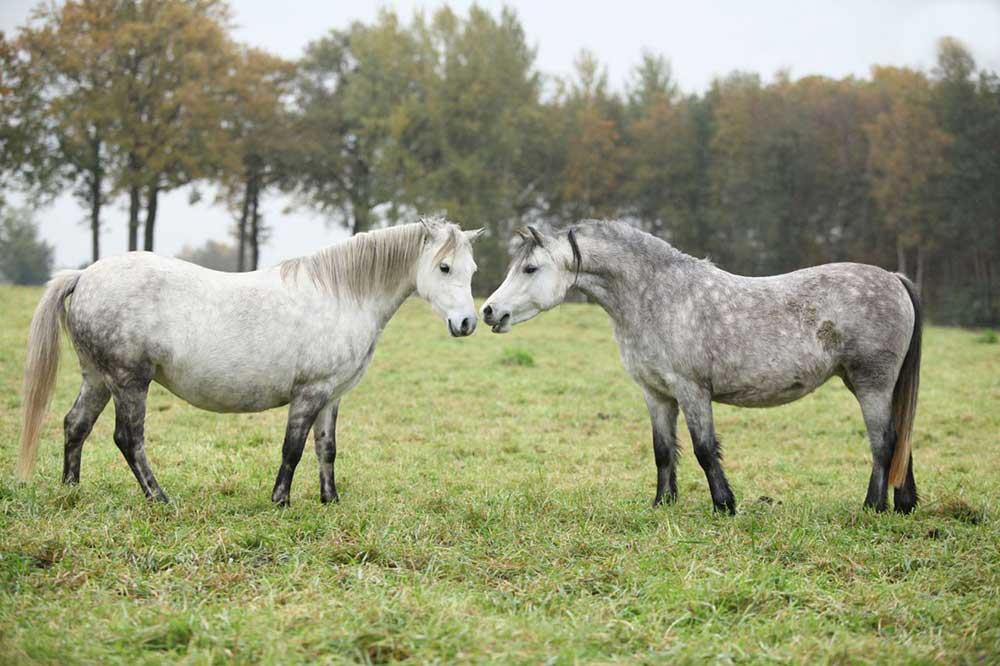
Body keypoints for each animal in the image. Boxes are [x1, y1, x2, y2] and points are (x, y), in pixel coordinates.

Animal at [15, 218, 484, 504]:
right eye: (444, 267)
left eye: (473, 270)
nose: (467, 323)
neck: (342, 294)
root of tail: (84, 275)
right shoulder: (309, 393)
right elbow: (293, 448)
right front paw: (281, 500)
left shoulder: (331, 396)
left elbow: (326, 449)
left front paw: (330, 500)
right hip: (129, 382)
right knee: (128, 439)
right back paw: (159, 497)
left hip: (97, 378)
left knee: (75, 426)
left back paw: (71, 491)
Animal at [484, 220, 920, 510]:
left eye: (530, 268)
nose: (489, 311)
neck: (656, 296)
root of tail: (894, 278)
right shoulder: (656, 394)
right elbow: (663, 451)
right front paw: (662, 504)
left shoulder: (692, 391)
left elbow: (704, 449)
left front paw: (725, 505)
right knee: (901, 437)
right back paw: (904, 505)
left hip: (871, 384)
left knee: (884, 441)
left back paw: (873, 507)